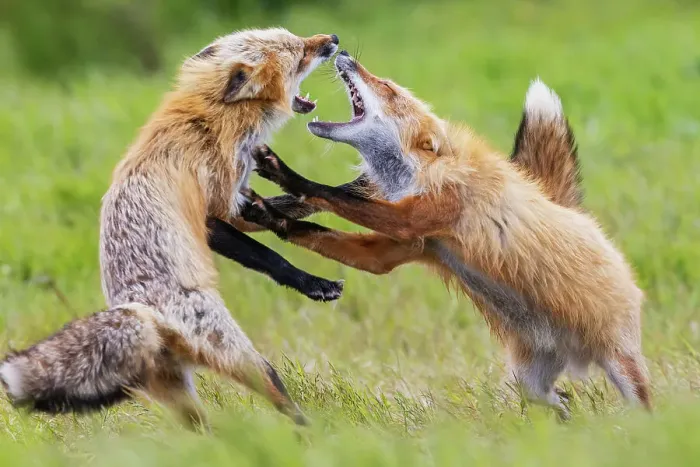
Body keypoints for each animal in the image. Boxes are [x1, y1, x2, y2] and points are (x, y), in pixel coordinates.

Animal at [0, 28, 341, 428]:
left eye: (296, 38)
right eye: (300, 52)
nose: (333, 38)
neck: (216, 116)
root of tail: (146, 316)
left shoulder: (237, 199)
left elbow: (294, 203)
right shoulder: (212, 209)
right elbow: (271, 257)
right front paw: (313, 284)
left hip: (182, 399)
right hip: (242, 357)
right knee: (279, 396)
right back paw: (312, 436)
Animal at [237, 51, 650, 419]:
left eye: (387, 88)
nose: (346, 55)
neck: (420, 173)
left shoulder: (419, 215)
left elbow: (326, 193)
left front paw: (286, 174)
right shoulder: (405, 246)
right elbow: (320, 227)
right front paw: (269, 215)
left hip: (622, 364)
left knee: (642, 406)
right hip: (530, 382)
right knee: (556, 400)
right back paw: (569, 417)